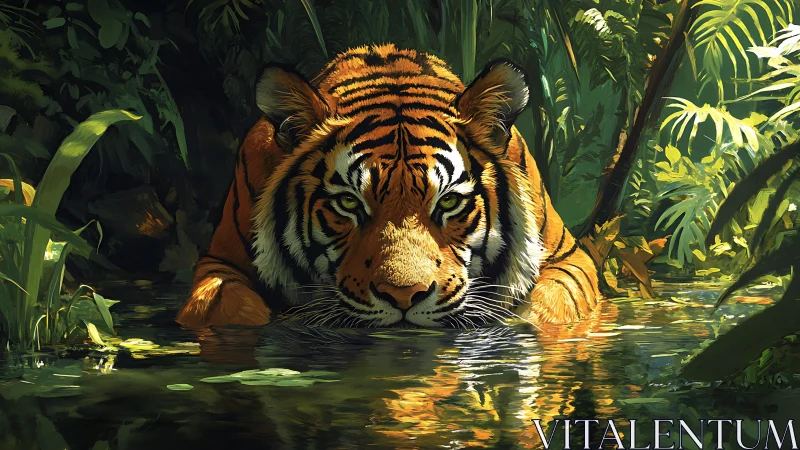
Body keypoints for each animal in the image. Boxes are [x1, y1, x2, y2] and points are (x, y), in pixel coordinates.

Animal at [176, 44, 601, 329]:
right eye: (349, 204)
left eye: (448, 203)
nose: (403, 296)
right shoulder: (221, 261)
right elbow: (230, 308)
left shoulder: (569, 258)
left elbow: (549, 308)